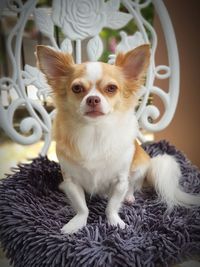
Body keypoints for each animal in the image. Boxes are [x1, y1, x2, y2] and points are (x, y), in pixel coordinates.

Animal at [36, 44, 200, 234]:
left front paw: (115, 222)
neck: (94, 132)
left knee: (133, 186)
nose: (93, 99)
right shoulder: (72, 181)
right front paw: (76, 223)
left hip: (139, 167)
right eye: (76, 88)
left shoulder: (120, 181)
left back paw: (129, 197)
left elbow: (112, 206)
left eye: (111, 88)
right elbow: (82, 207)